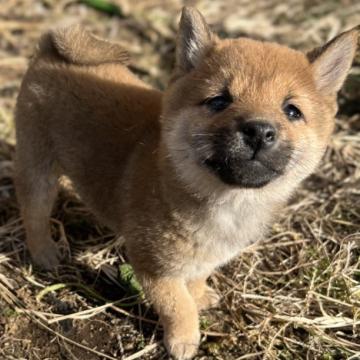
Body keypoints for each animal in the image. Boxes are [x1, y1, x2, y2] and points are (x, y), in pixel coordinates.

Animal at [14, 6, 358, 360]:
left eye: (292, 111)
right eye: (219, 101)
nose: (259, 131)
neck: (224, 202)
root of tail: (51, 48)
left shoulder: (203, 258)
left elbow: (196, 279)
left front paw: (201, 295)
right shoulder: (154, 269)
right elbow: (177, 306)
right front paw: (184, 339)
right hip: (38, 168)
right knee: (33, 213)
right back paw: (44, 254)